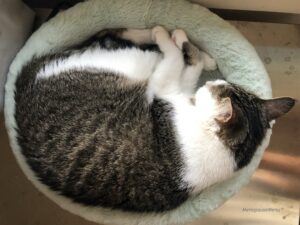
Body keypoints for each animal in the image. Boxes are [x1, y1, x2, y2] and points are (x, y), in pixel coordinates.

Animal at [14, 26, 296, 213]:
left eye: (216, 89)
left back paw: (158, 33)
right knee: (109, 35)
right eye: (223, 85)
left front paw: (175, 42)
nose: (213, 81)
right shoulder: (174, 92)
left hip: (131, 62)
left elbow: (178, 61)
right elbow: (188, 67)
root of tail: (23, 79)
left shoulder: (164, 89)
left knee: (128, 43)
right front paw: (192, 51)